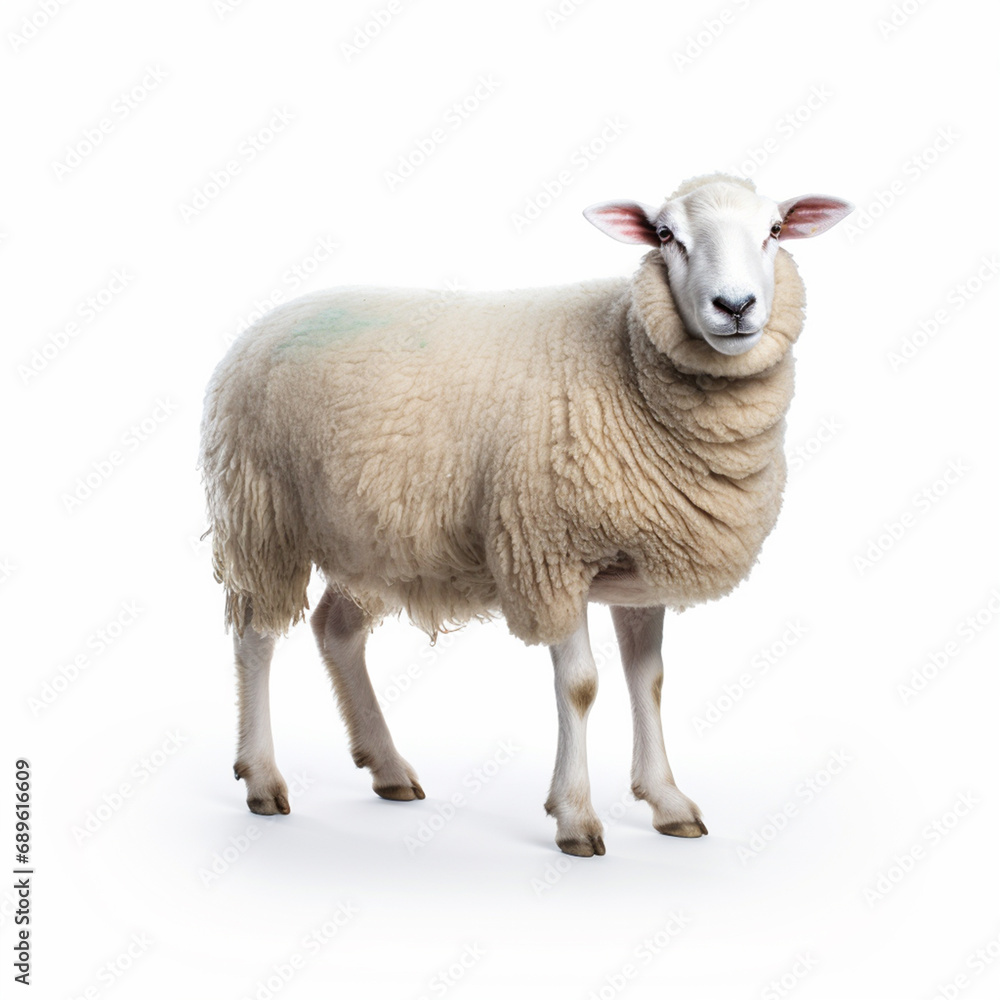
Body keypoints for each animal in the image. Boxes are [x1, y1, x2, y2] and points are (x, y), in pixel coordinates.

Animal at [199, 173, 852, 856]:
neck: (624, 360)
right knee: (255, 637)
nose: (735, 305)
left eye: (774, 230)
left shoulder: (641, 566)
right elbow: (582, 686)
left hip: (375, 537)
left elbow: (648, 681)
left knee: (335, 630)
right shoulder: (548, 552)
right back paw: (262, 778)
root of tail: (266, 320)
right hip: (262, 515)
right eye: (666, 235)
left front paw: (667, 802)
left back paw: (387, 766)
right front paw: (576, 818)